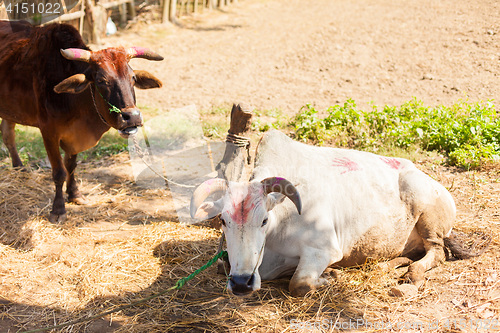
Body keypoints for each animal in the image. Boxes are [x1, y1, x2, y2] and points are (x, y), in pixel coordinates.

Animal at [0, 22, 164, 222]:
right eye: (101, 80)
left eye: (132, 78)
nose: (132, 116)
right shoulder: (48, 132)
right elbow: (59, 172)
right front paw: (58, 209)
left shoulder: (74, 136)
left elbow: (71, 165)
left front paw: (75, 195)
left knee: (8, 134)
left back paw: (19, 168)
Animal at [189, 130, 462, 296]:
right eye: (223, 220)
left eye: (264, 220)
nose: (241, 283)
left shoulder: (325, 249)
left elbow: (299, 283)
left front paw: (332, 275)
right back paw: (386, 266)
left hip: (429, 218)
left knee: (437, 253)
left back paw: (412, 275)